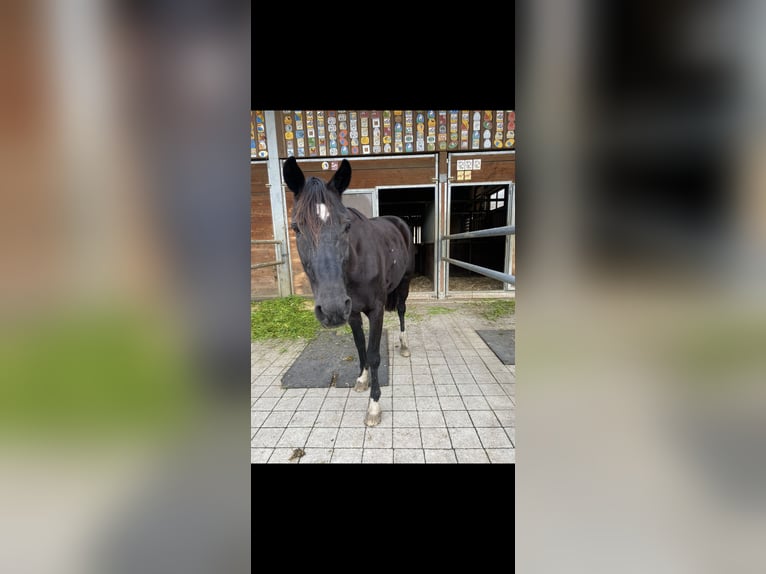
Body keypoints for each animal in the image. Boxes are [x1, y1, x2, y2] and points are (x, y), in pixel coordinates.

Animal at [284, 158, 416, 428]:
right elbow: (360, 347)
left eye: (346, 226)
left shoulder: (376, 310)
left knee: (401, 311)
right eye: (296, 228)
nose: (331, 309)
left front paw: (374, 406)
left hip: (405, 283)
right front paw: (362, 380)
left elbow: (374, 355)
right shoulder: (352, 312)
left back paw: (404, 344)